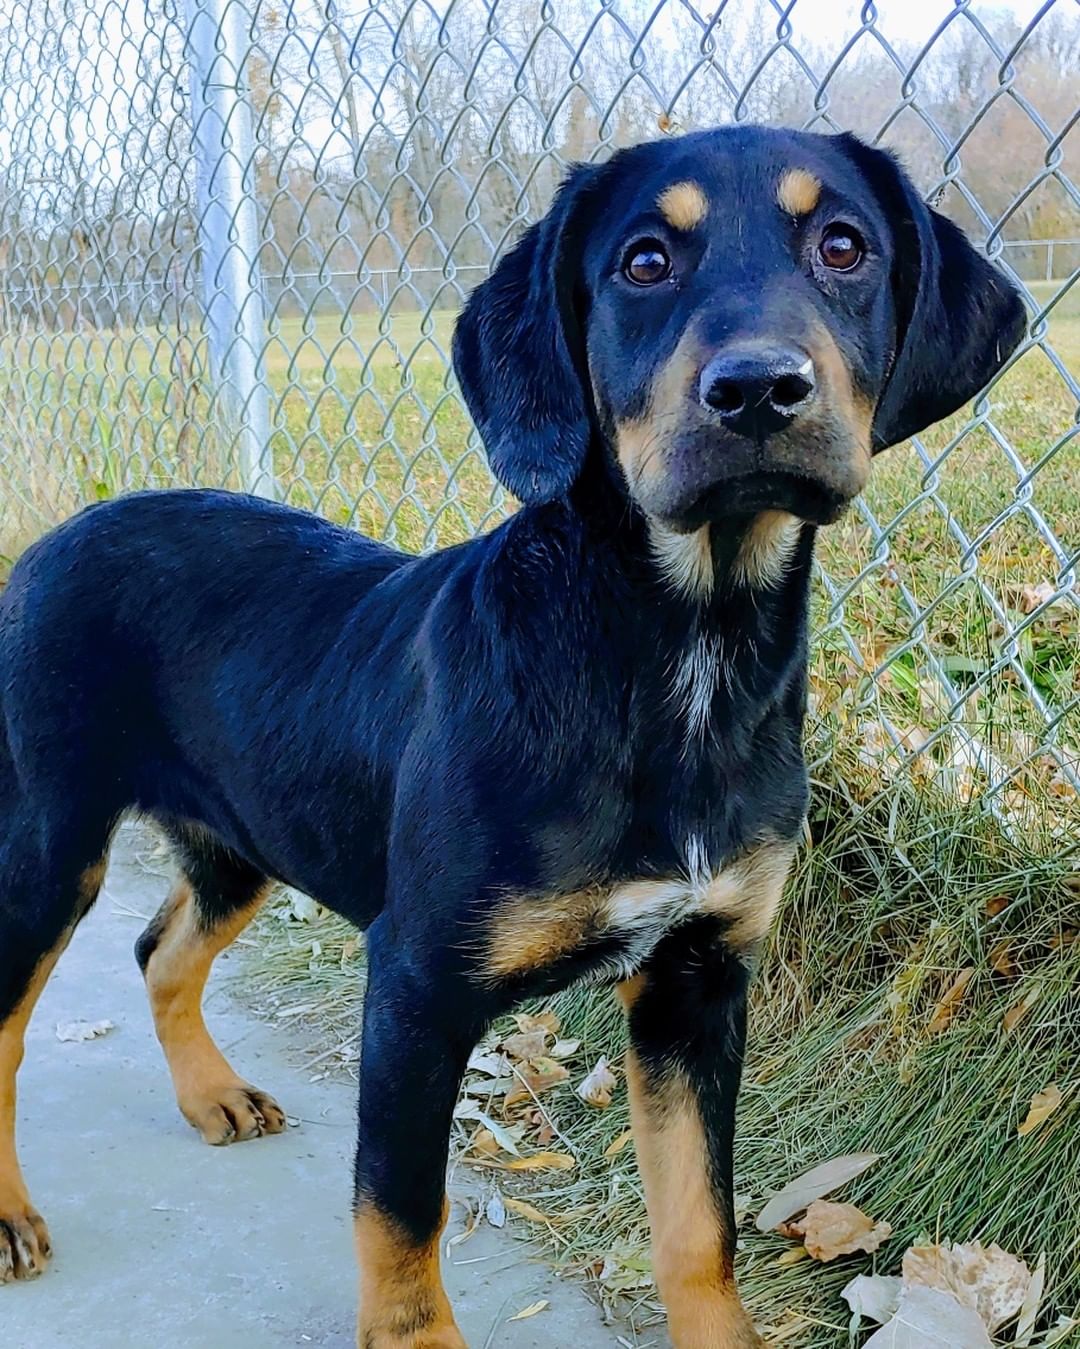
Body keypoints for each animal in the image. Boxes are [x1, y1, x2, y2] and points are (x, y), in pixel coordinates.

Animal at [0, 124, 1019, 1338]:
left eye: (845, 246)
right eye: (642, 262)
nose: (759, 390)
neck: (681, 661)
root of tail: (48, 541)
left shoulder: (697, 979)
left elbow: (699, 1226)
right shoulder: (415, 980)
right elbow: (401, 1211)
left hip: (244, 833)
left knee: (162, 948)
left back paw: (213, 1094)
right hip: (49, 840)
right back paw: (9, 1215)